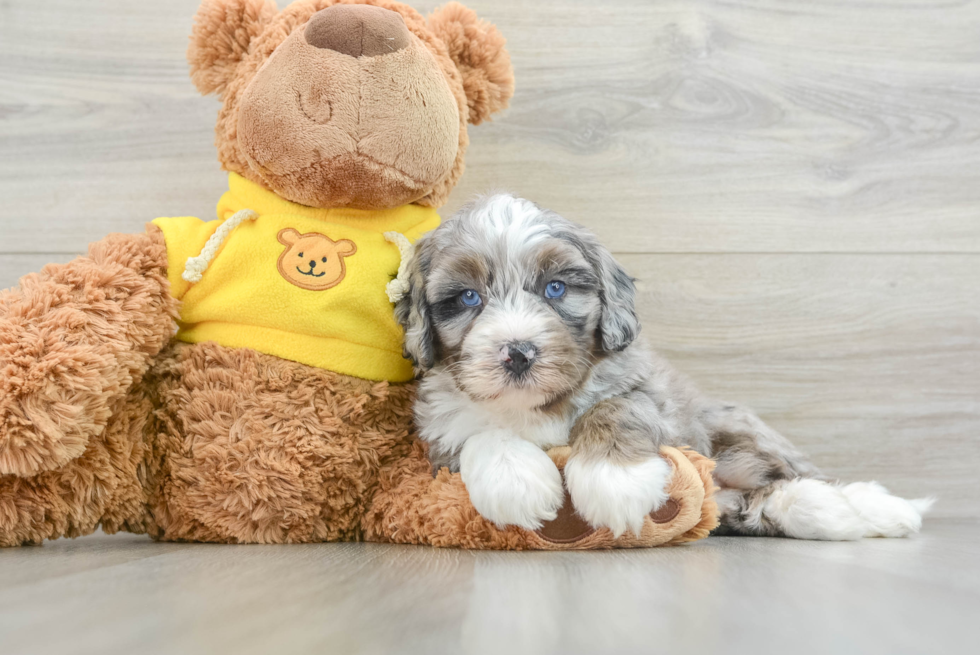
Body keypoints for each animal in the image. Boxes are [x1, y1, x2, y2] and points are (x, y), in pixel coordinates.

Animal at [392, 196, 936, 544]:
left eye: (555, 288)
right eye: (468, 298)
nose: (519, 352)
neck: (539, 406)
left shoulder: (649, 392)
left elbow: (617, 408)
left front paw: (615, 481)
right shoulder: (440, 436)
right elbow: (481, 434)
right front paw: (516, 483)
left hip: (736, 428)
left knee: (802, 476)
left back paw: (877, 508)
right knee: (771, 501)